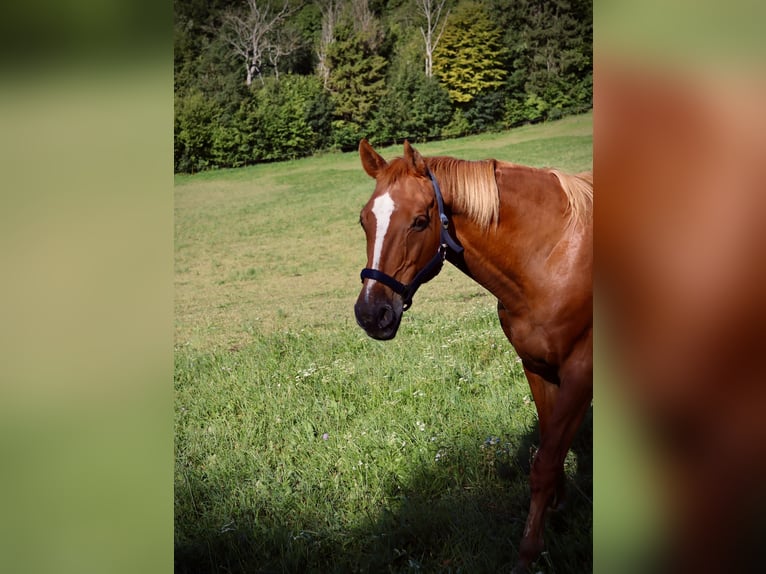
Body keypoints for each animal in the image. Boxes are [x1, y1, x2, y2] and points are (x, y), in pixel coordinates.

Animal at [353, 139, 593, 571]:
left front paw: (527, 554)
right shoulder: (538, 369)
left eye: (419, 222)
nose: (371, 313)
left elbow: (545, 463)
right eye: (364, 221)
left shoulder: (581, 373)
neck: (554, 255)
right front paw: (558, 513)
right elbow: (550, 448)